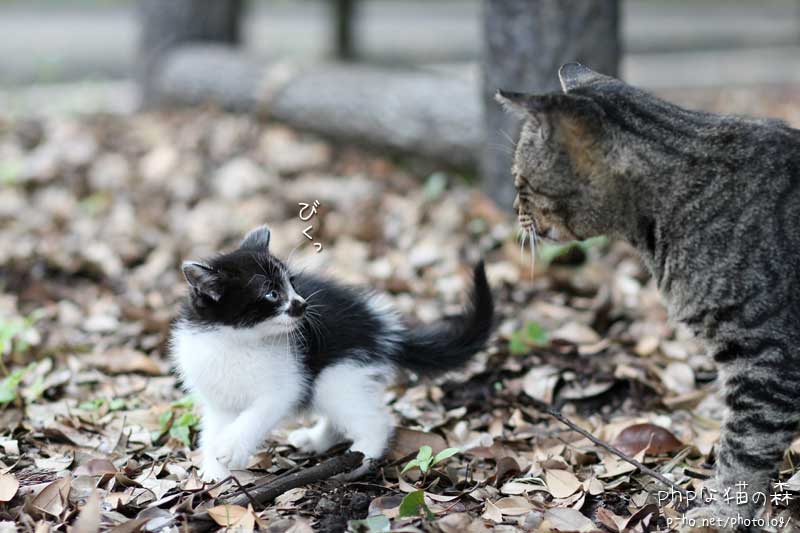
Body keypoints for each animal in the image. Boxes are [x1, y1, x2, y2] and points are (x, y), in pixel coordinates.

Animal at [170, 225, 494, 481]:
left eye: (292, 283)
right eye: (271, 293)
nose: (302, 304)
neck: (236, 341)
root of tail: (381, 327)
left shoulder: (287, 385)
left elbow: (257, 414)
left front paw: (230, 447)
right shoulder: (218, 399)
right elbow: (214, 428)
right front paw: (215, 471)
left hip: (337, 372)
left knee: (373, 419)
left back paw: (361, 455)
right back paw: (316, 439)